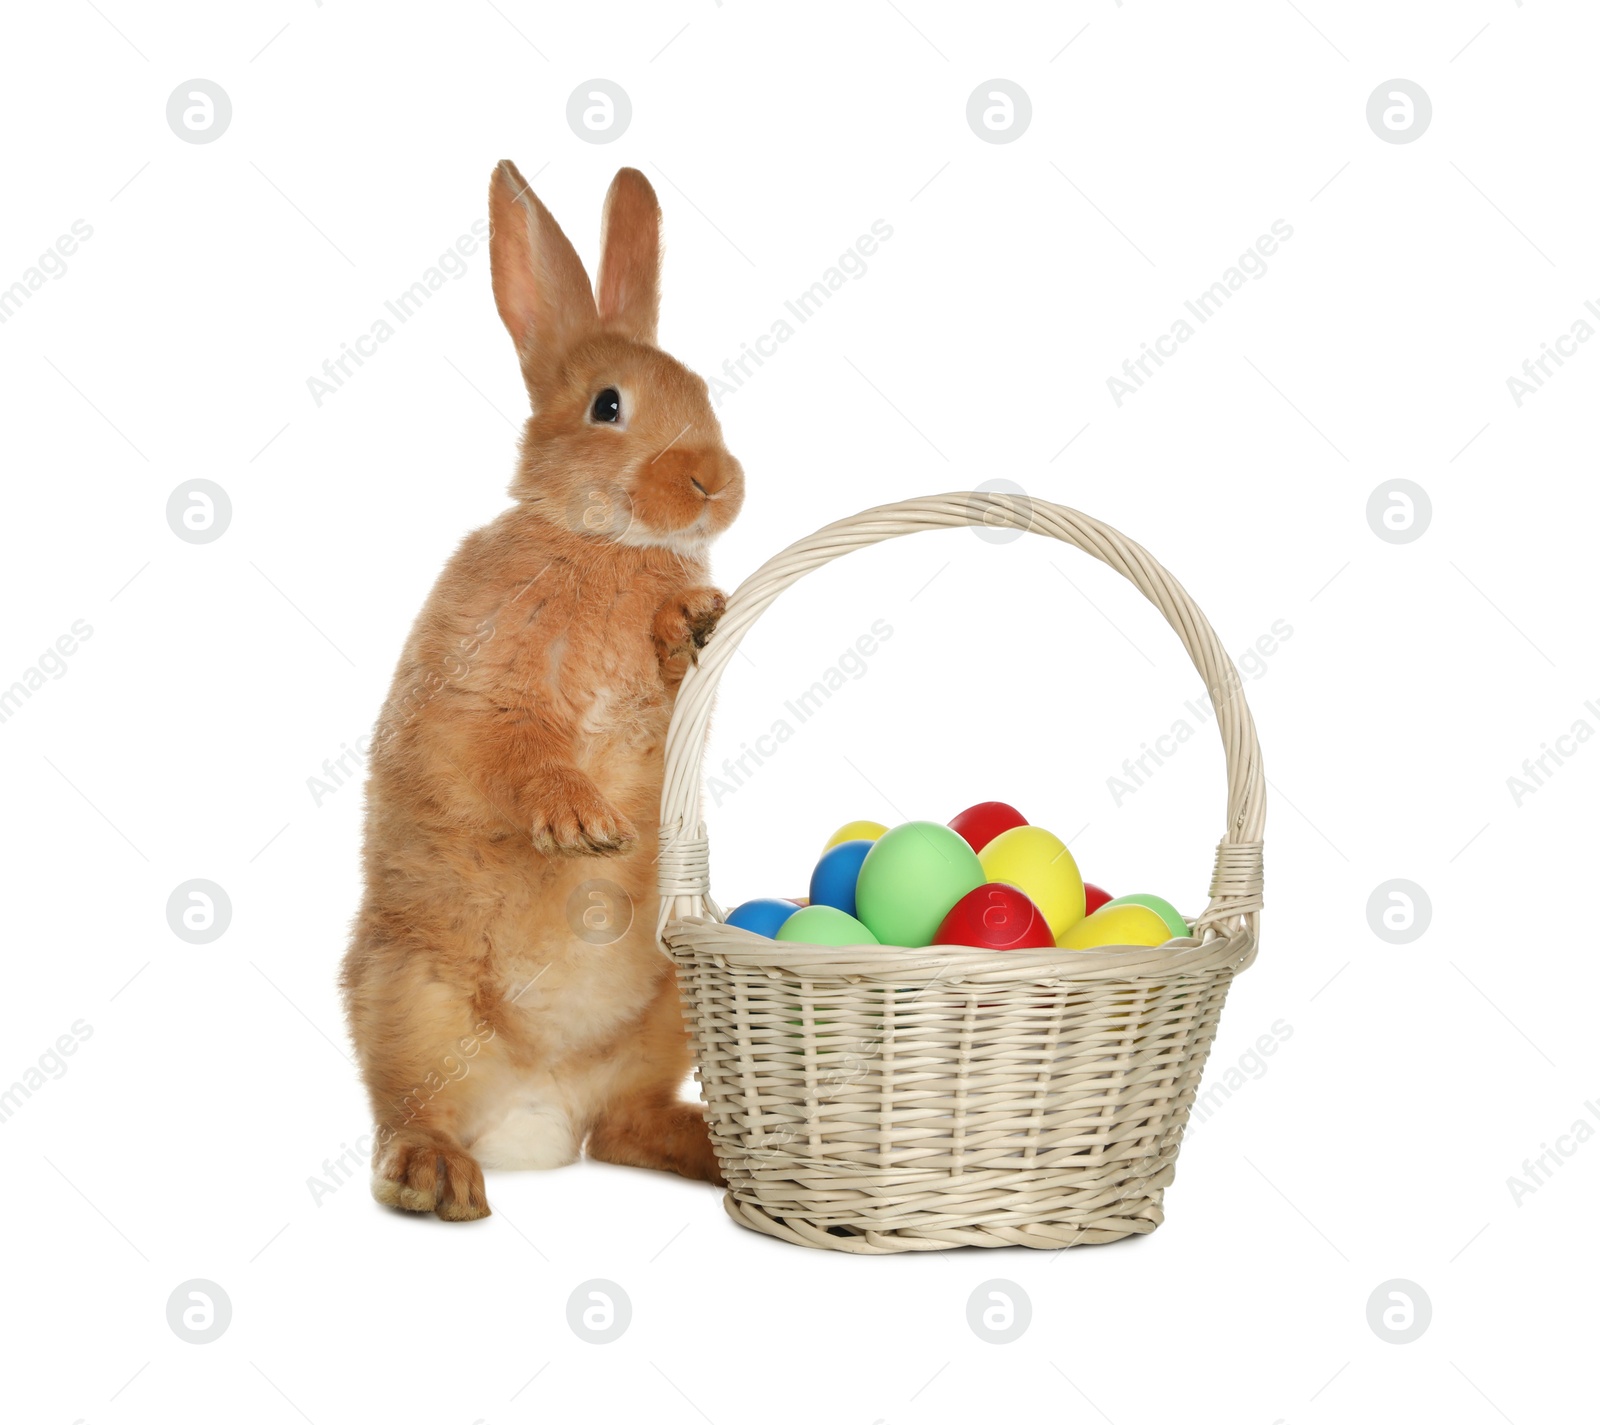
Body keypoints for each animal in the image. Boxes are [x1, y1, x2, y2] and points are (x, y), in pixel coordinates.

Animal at [344, 161, 742, 1221]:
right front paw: (582, 824)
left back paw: (710, 1149)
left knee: (628, 1126)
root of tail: (538, 1118)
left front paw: (694, 619)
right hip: (411, 995)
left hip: (665, 1006)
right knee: (408, 1110)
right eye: (608, 406)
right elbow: (516, 752)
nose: (717, 480)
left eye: (701, 391)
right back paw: (437, 1178)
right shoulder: (477, 693)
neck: (601, 541)